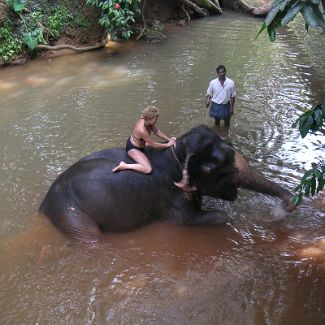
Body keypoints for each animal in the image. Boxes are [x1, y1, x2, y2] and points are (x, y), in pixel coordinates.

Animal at [38, 125, 294, 242]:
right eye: (220, 166)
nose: (288, 205)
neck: (175, 153)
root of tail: (43, 205)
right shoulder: (169, 197)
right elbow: (188, 219)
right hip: (69, 213)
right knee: (90, 236)